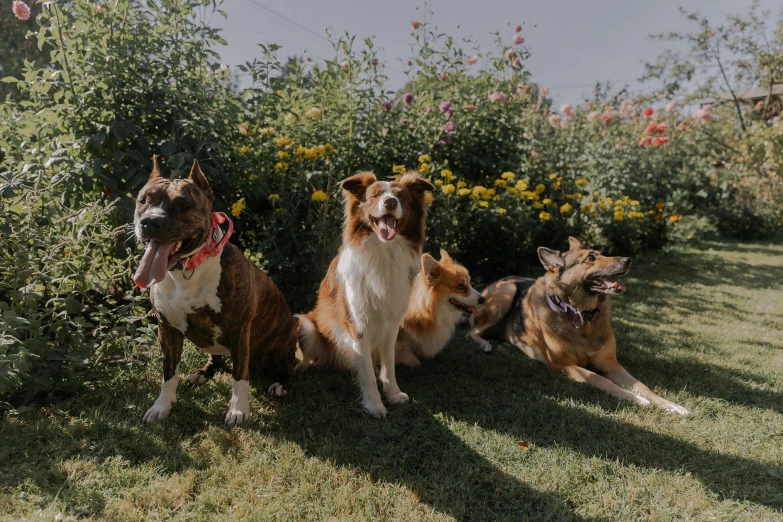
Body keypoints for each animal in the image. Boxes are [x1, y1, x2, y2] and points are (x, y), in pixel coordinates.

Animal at [135, 156, 298, 424]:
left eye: (183, 205)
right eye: (143, 201)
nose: (149, 221)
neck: (185, 271)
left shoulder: (240, 329)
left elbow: (239, 376)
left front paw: (238, 409)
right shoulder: (166, 328)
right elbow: (169, 372)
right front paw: (162, 406)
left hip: (283, 343)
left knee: (286, 368)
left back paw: (279, 384)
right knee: (217, 358)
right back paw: (203, 373)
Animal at [468, 237, 688, 414]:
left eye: (602, 253)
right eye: (591, 257)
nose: (628, 259)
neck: (582, 317)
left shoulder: (611, 364)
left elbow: (642, 385)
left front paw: (670, 405)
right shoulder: (565, 365)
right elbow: (600, 379)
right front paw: (635, 399)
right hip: (506, 292)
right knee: (471, 332)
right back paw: (485, 344)